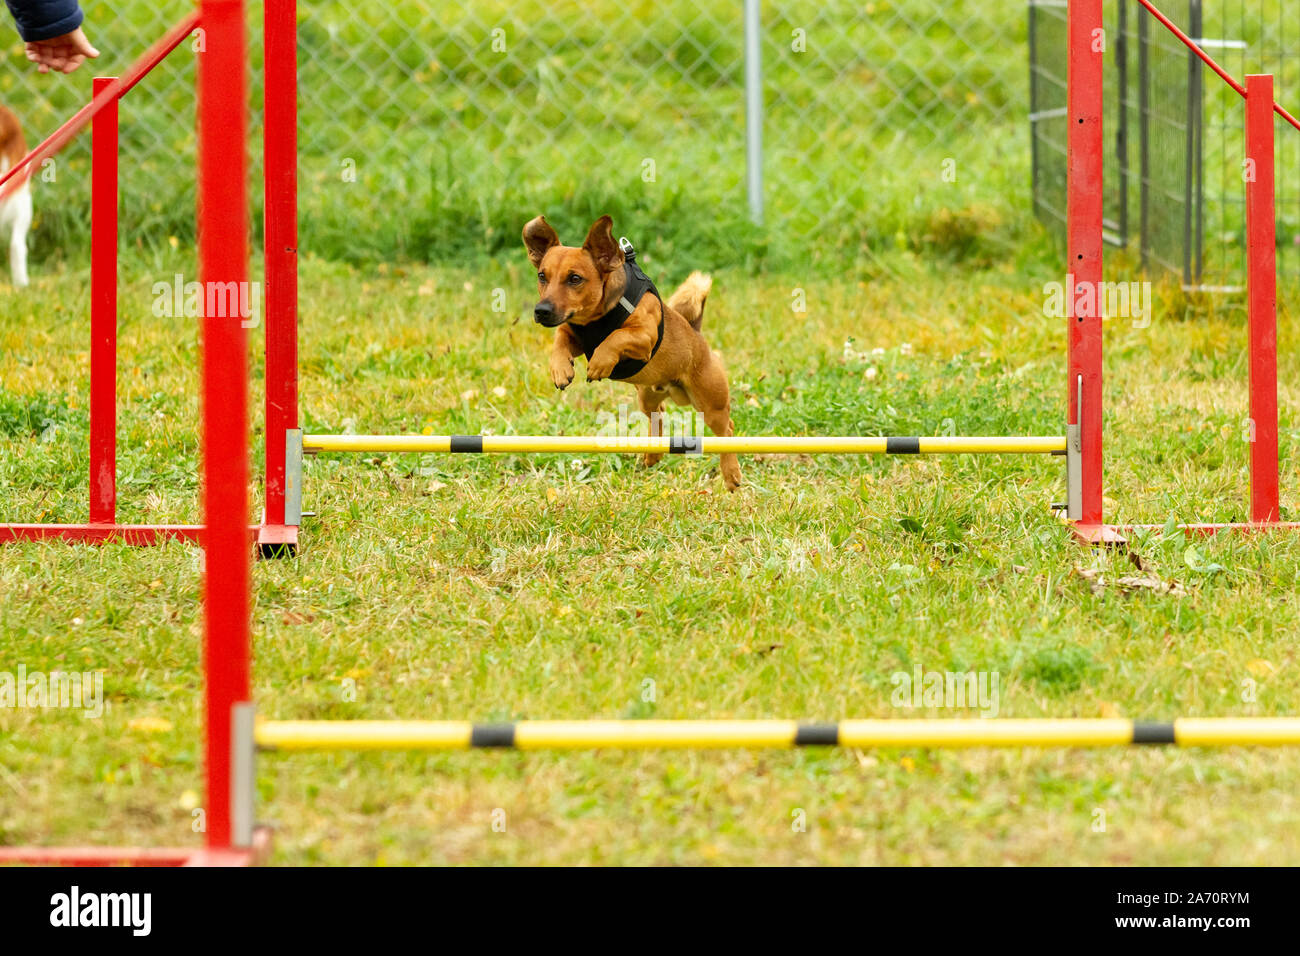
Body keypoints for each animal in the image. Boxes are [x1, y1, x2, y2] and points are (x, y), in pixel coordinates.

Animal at [520, 214, 743, 489]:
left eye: (575, 278)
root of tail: (696, 331)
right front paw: (560, 370)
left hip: (711, 404)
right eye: (542, 276)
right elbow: (560, 341)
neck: (595, 319)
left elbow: (616, 337)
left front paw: (600, 363)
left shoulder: (645, 336)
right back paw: (653, 454)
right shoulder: (573, 334)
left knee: (727, 430)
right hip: (647, 398)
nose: (541, 311)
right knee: (658, 416)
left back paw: (731, 474)